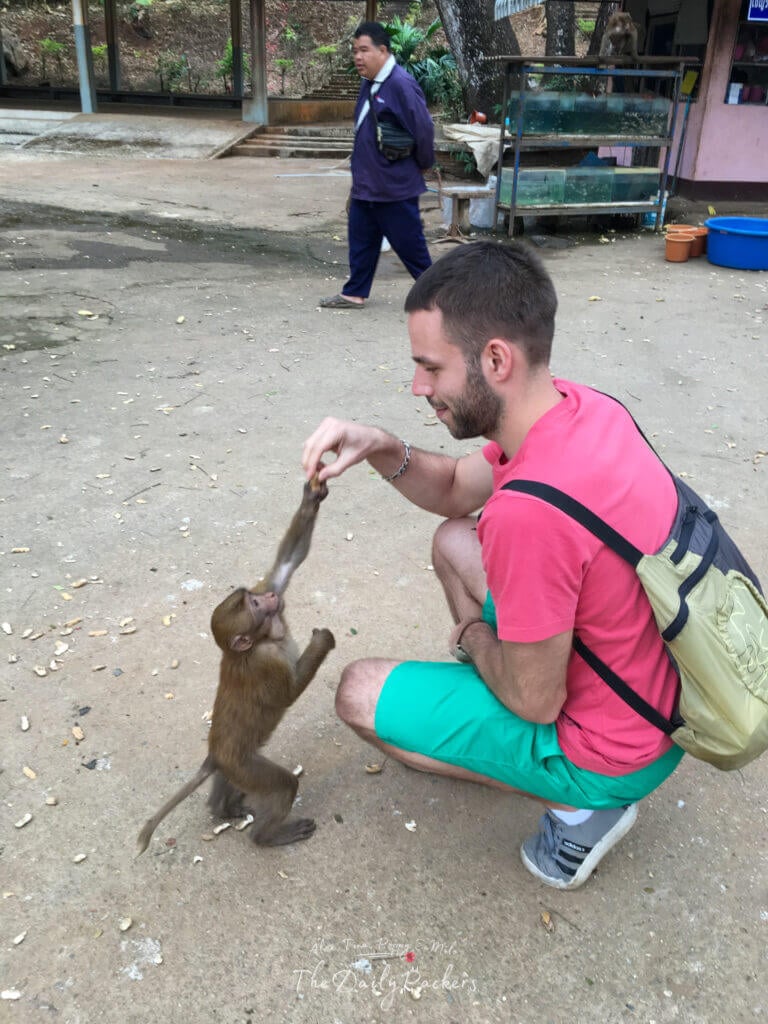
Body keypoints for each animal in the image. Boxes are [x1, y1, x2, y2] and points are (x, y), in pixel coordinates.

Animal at [136, 476, 335, 855]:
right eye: (255, 605)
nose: (269, 598)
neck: (262, 639)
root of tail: (216, 754)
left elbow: (288, 562)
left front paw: (311, 497)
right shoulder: (264, 662)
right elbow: (288, 693)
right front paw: (323, 641)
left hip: (235, 767)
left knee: (226, 784)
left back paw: (222, 808)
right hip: (243, 764)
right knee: (281, 784)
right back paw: (267, 836)